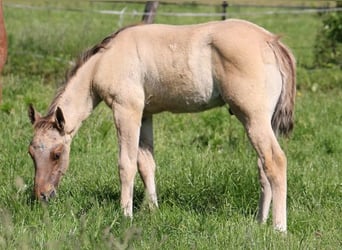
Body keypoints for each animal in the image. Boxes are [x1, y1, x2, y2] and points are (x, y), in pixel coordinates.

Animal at [28, 19, 296, 232]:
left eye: (57, 154)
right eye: (31, 153)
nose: (42, 195)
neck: (104, 61)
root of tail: (271, 41)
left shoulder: (126, 110)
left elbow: (126, 164)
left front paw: (126, 215)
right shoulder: (145, 114)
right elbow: (146, 164)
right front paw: (152, 210)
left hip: (253, 118)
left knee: (275, 161)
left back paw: (279, 228)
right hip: (260, 121)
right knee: (263, 166)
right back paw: (260, 222)